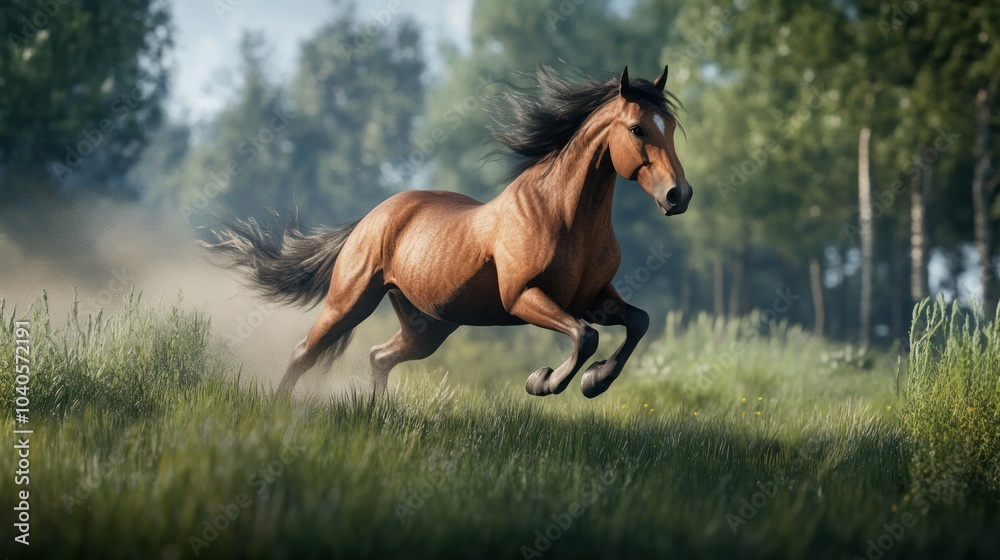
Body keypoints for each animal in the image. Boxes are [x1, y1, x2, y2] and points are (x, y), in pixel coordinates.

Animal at [204, 64, 692, 398]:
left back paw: (376, 413)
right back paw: (282, 410)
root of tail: (370, 219)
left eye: (670, 128)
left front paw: (595, 382)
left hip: (428, 325)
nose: (678, 195)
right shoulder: (524, 298)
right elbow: (585, 336)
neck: (563, 216)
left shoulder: (593, 298)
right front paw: (544, 381)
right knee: (304, 353)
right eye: (637, 129)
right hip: (350, 302)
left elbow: (638, 321)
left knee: (378, 355)